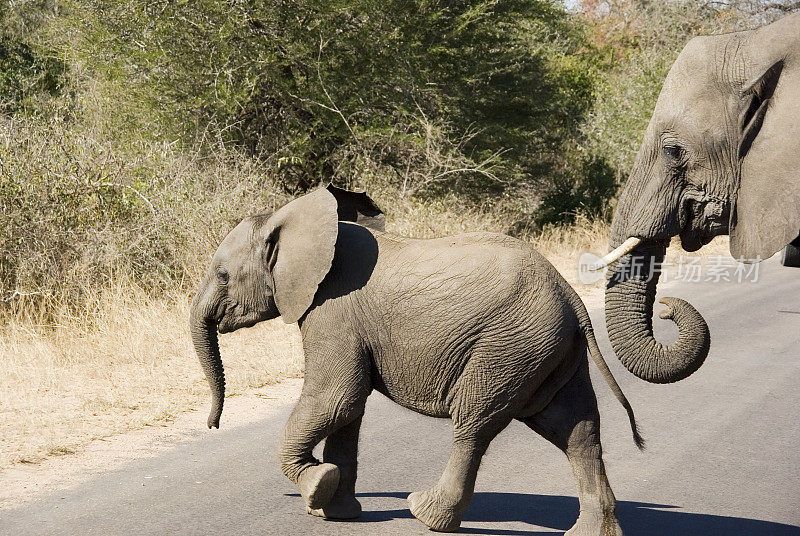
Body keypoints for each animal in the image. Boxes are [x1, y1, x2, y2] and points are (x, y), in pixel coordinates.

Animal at [189, 186, 644, 532]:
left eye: (223, 277)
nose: (212, 424)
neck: (292, 218)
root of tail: (571, 295)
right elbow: (347, 413)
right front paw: (335, 510)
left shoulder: (333, 311)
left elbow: (337, 398)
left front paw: (318, 483)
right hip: (548, 352)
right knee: (576, 431)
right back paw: (589, 532)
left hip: (510, 347)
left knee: (475, 424)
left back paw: (426, 513)